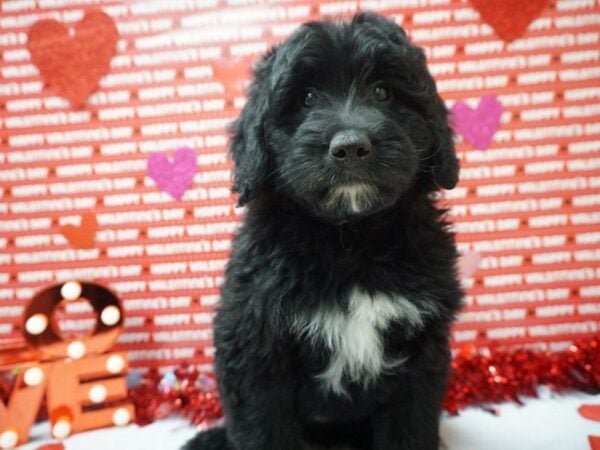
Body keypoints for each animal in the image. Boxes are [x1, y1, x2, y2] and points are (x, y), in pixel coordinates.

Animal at [185, 12, 462, 448]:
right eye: (307, 98)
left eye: (383, 92)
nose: (350, 147)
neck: (348, 238)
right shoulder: (252, 346)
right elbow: (263, 428)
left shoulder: (421, 351)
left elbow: (410, 426)